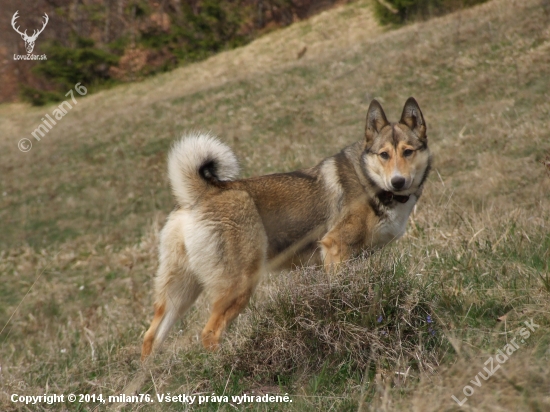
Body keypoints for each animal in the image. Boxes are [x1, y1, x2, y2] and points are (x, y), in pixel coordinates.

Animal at [141, 97, 432, 360]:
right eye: (384, 155)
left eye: (408, 152)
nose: (398, 181)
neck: (369, 180)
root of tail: (201, 193)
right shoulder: (336, 248)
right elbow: (341, 293)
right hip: (238, 285)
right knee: (209, 333)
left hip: (181, 292)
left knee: (151, 337)